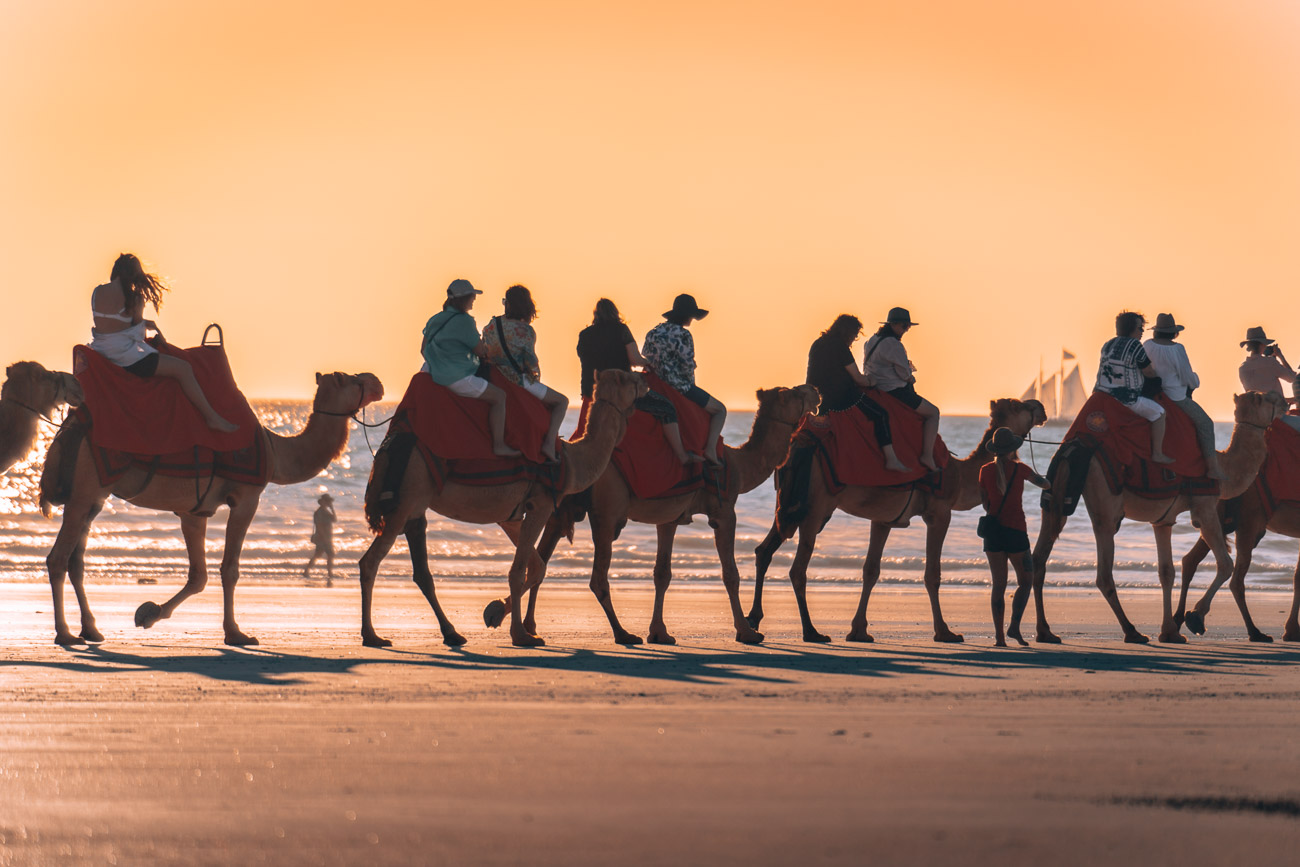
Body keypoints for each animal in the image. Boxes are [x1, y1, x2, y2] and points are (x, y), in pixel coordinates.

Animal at [36, 369, 379, 647]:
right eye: (352, 379)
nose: (377, 381)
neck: (277, 450)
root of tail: (67, 431)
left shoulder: (195, 511)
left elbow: (198, 576)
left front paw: (148, 614)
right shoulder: (247, 498)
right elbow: (229, 569)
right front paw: (236, 633)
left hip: (93, 497)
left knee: (76, 560)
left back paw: (91, 630)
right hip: (85, 490)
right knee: (57, 558)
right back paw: (64, 633)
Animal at [356, 369, 644, 647]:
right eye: (630, 378)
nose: (646, 381)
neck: (573, 462)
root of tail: (387, 446)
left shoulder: (511, 516)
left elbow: (537, 567)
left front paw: (494, 613)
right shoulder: (540, 504)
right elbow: (518, 572)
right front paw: (521, 635)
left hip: (415, 505)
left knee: (421, 571)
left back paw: (451, 633)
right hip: (407, 496)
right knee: (370, 562)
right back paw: (372, 635)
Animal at [501, 384, 816, 644]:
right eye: (792, 393)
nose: (814, 390)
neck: (739, 463)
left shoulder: (670, 518)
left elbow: (662, 573)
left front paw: (660, 633)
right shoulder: (725, 510)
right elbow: (731, 574)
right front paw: (747, 632)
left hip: (562, 505)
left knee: (542, 559)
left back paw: (524, 625)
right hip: (608, 508)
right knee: (596, 576)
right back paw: (622, 633)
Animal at [748, 400, 1040, 644]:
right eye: (1019, 405)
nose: (1040, 406)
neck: (959, 475)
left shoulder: (883, 519)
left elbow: (870, 571)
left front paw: (859, 631)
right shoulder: (939, 513)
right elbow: (932, 574)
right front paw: (945, 632)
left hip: (789, 503)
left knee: (764, 551)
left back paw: (754, 620)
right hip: (816, 507)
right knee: (797, 569)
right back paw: (811, 632)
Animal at [1034, 392, 1279, 644]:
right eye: (1263, 399)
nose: (1279, 398)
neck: (1225, 468)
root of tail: (1072, 448)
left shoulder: (1163, 520)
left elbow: (1166, 571)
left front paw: (1169, 631)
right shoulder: (1205, 508)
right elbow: (1225, 564)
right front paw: (1194, 617)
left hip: (1055, 494)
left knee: (1039, 557)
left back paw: (1045, 631)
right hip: (1104, 501)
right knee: (1103, 573)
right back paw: (1131, 631)